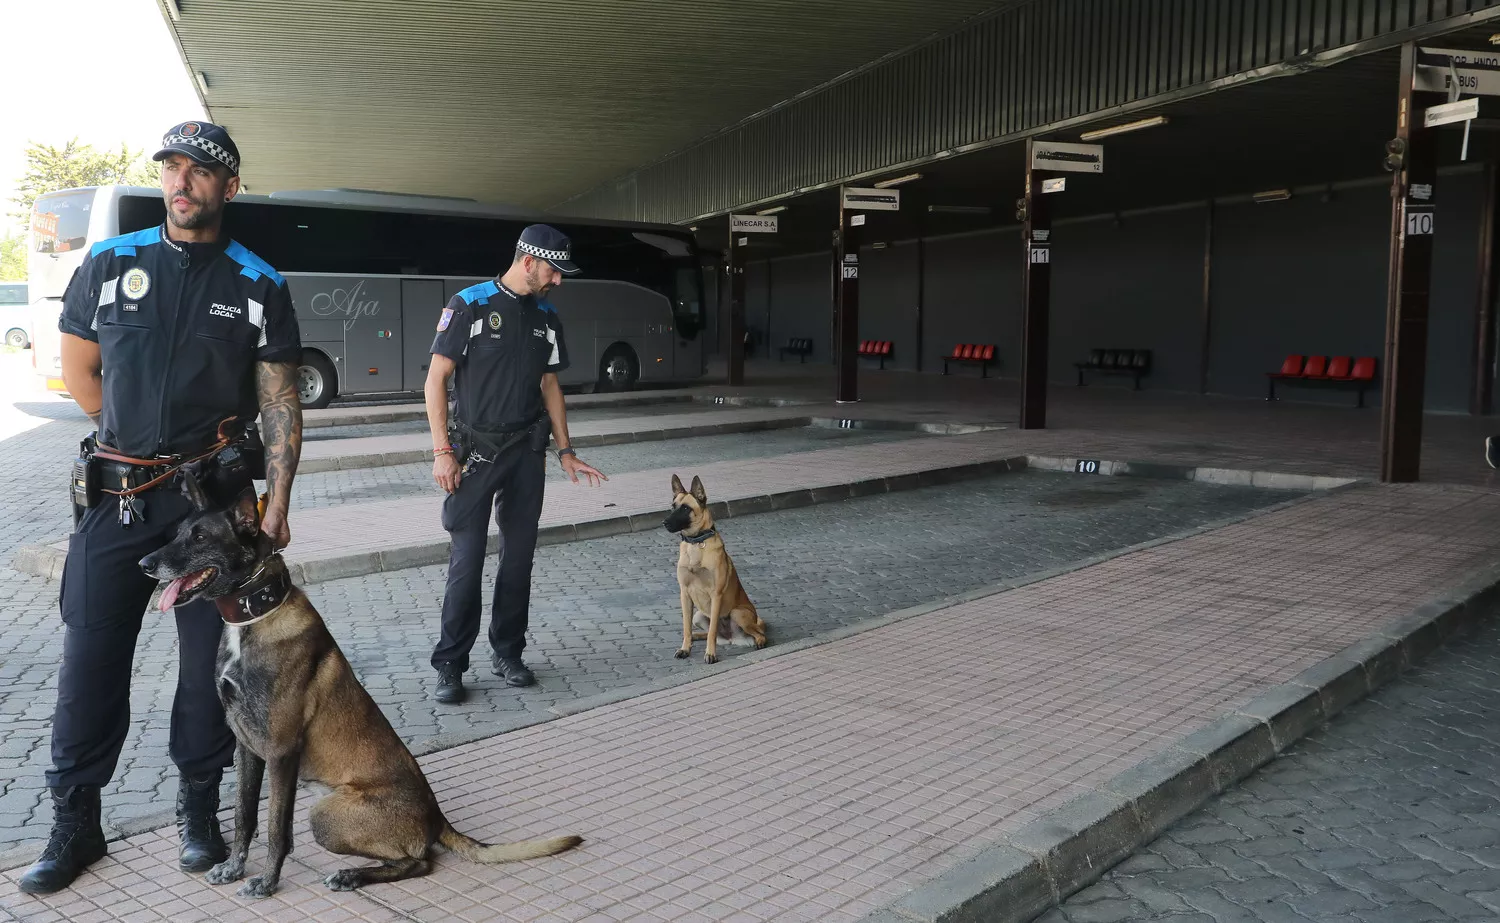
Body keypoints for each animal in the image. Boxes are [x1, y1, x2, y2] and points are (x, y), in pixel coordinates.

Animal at [138, 468, 579, 894]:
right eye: (178, 531)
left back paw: (351, 875)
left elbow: (277, 828)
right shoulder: (247, 747)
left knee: (420, 860)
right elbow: (246, 816)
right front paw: (233, 867)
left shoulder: (280, 752)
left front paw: (267, 882)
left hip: (324, 815)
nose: (144, 563)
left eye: (200, 537)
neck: (254, 616)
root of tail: (437, 817)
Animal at [660, 477, 768, 663]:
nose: (664, 522)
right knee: (704, 631)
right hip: (698, 615)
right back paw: (696, 636)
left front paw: (710, 654)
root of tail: (731, 638)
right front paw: (685, 648)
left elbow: (711, 631)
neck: (696, 543)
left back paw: (759, 642)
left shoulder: (716, 594)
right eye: (673, 506)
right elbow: (686, 628)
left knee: (759, 634)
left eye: (686, 508)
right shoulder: (684, 594)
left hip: (737, 613)